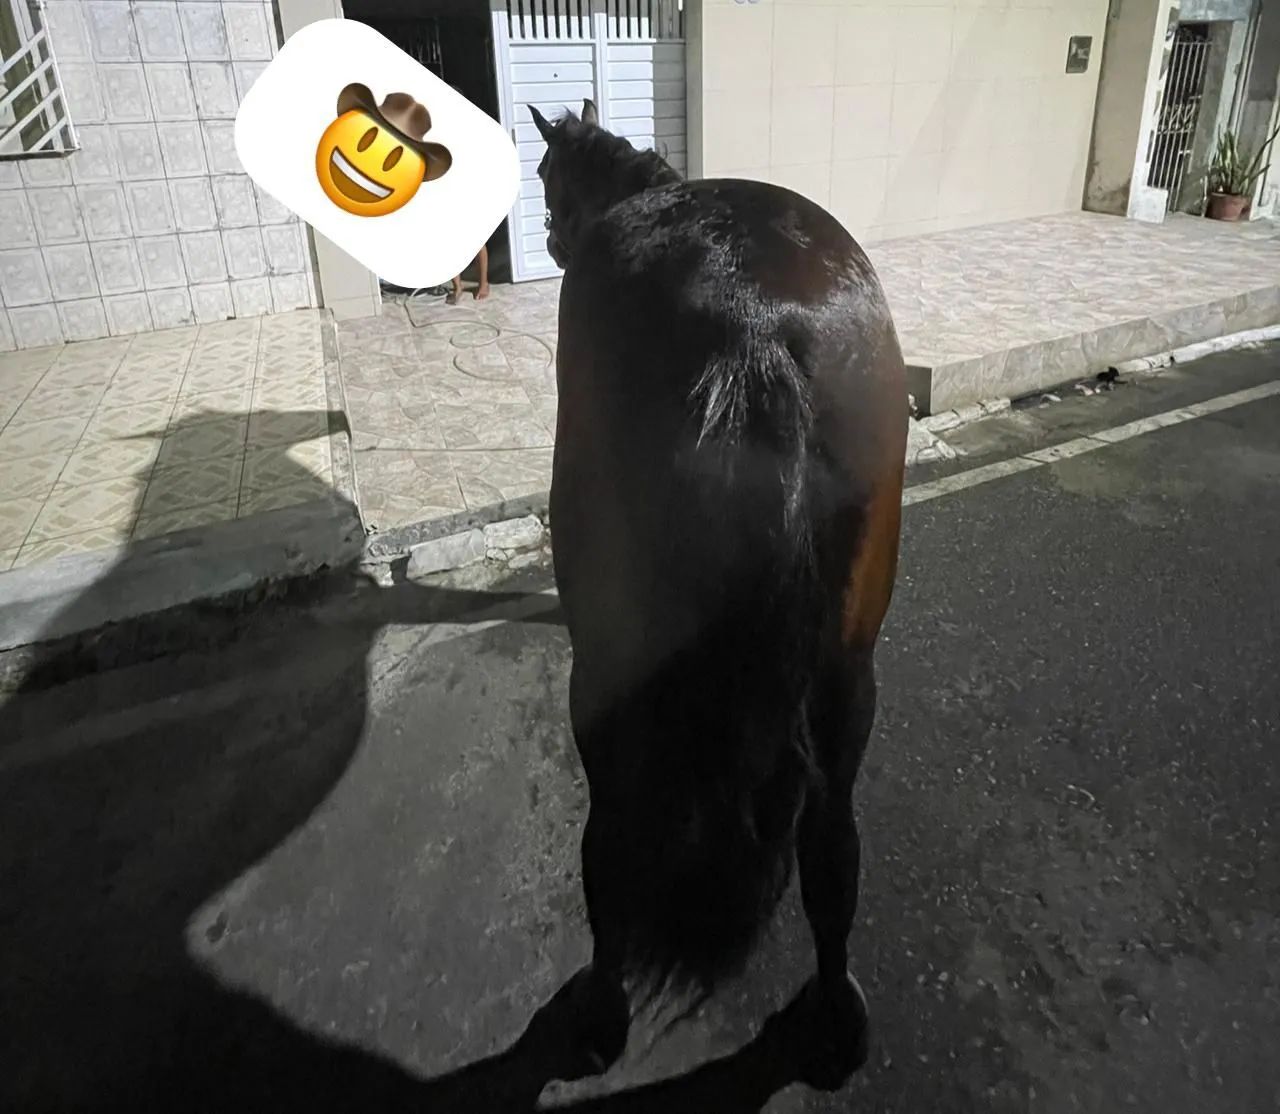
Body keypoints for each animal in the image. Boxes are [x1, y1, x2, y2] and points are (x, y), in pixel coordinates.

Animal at [529, 99, 908, 1092]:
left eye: (545, 179)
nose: (546, 237)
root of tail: (753, 322)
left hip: (605, 667)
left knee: (609, 836)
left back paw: (602, 1009)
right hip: (848, 673)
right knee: (831, 839)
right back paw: (835, 1018)